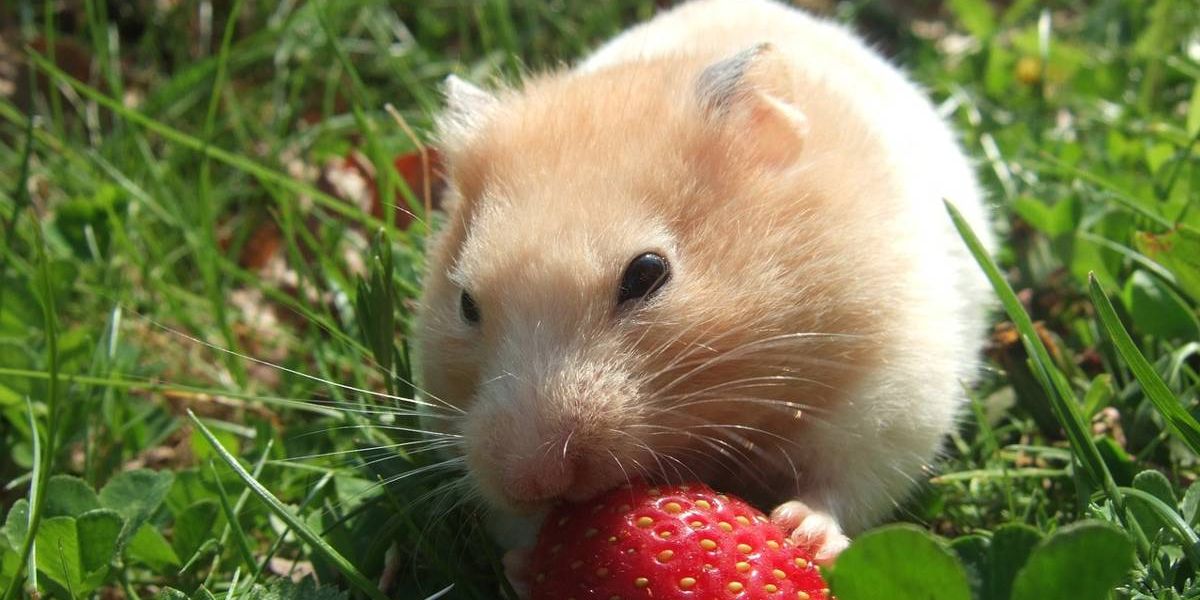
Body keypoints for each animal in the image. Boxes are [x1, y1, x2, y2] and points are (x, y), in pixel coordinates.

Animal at [414, 0, 994, 576]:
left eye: (647, 273)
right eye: (466, 303)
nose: (531, 481)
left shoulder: (890, 395)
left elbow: (844, 484)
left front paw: (800, 531)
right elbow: (520, 530)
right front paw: (524, 561)